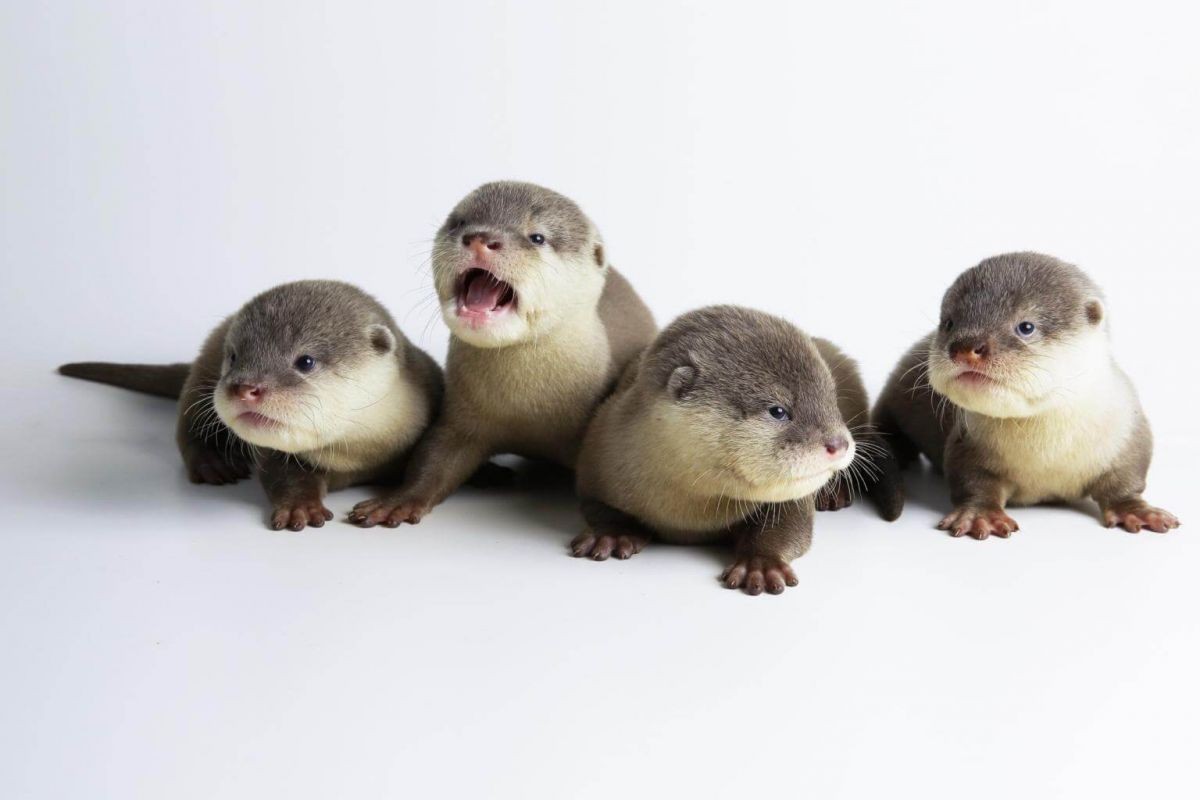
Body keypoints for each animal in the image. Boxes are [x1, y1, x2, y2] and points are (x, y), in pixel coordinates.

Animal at [60, 280, 442, 530]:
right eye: (234, 356)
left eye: (305, 361)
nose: (244, 388)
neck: (360, 454)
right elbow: (281, 471)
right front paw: (300, 507)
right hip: (201, 372)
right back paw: (213, 463)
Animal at [349, 181, 657, 527]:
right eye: (460, 222)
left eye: (537, 237)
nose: (480, 238)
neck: (527, 408)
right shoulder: (461, 418)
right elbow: (433, 460)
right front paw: (398, 500)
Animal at [570, 306, 885, 595]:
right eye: (778, 411)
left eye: (831, 399)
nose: (838, 444)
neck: (687, 516)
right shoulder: (600, 451)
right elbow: (594, 502)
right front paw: (611, 535)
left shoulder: (791, 498)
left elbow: (792, 521)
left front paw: (761, 564)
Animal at [872, 252, 1180, 538]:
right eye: (948, 322)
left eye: (1026, 327)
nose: (965, 346)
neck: (1046, 454)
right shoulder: (966, 441)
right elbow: (973, 480)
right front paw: (980, 515)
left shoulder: (1128, 431)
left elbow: (1126, 479)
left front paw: (1136, 510)